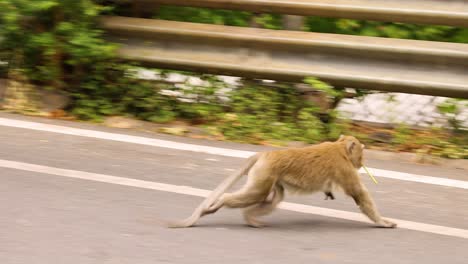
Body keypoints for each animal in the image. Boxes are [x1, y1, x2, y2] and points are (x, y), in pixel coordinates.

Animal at [168, 135, 394, 228]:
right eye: (361, 153)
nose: (362, 162)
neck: (340, 148)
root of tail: (264, 154)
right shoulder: (345, 169)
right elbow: (359, 194)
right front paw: (384, 222)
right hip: (264, 174)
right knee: (255, 194)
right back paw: (220, 204)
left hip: (270, 177)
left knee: (274, 198)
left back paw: (250, 219)